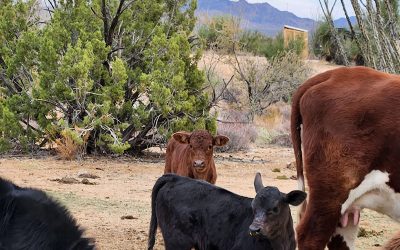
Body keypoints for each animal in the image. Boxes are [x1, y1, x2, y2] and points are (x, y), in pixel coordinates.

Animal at [147, 173, 306, 249]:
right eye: (253, 207)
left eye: (275, 208)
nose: (254, 229)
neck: (280, 241)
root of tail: (176, 178)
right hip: (177, 241)